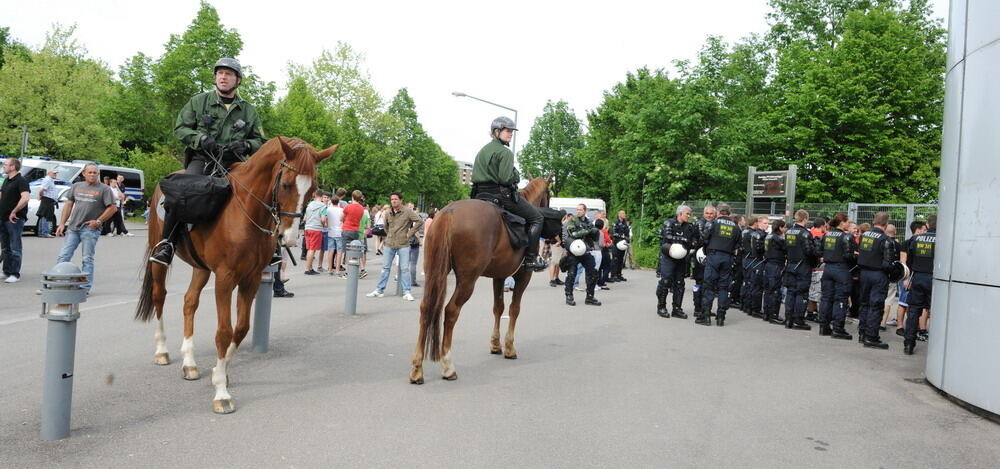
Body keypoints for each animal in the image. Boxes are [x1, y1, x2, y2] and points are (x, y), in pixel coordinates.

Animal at [133, 136, 338, 414]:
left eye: (312, 189)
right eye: (285, 184)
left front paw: (219, 373)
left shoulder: (250, 280)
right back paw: (162, 350)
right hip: (159, 257)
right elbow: (223, 332)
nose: (289, 238)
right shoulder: (225, 279)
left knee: (189, 302)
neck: (246, 212)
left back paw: (189, 361)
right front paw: (221, 392)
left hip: (201, 268)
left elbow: (241, 329)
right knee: (159, 296)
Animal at [408, 176, 556, 384]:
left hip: (434, 273)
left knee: (425, 309)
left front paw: (495, 344)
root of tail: (449, 212)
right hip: (468, 280)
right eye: (548, 194)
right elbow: (514, 309)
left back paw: (417, 368)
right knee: (451, 311)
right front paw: (509, 347)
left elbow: (498, 308)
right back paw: (448, 366)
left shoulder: (499, 277)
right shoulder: (522, 276)